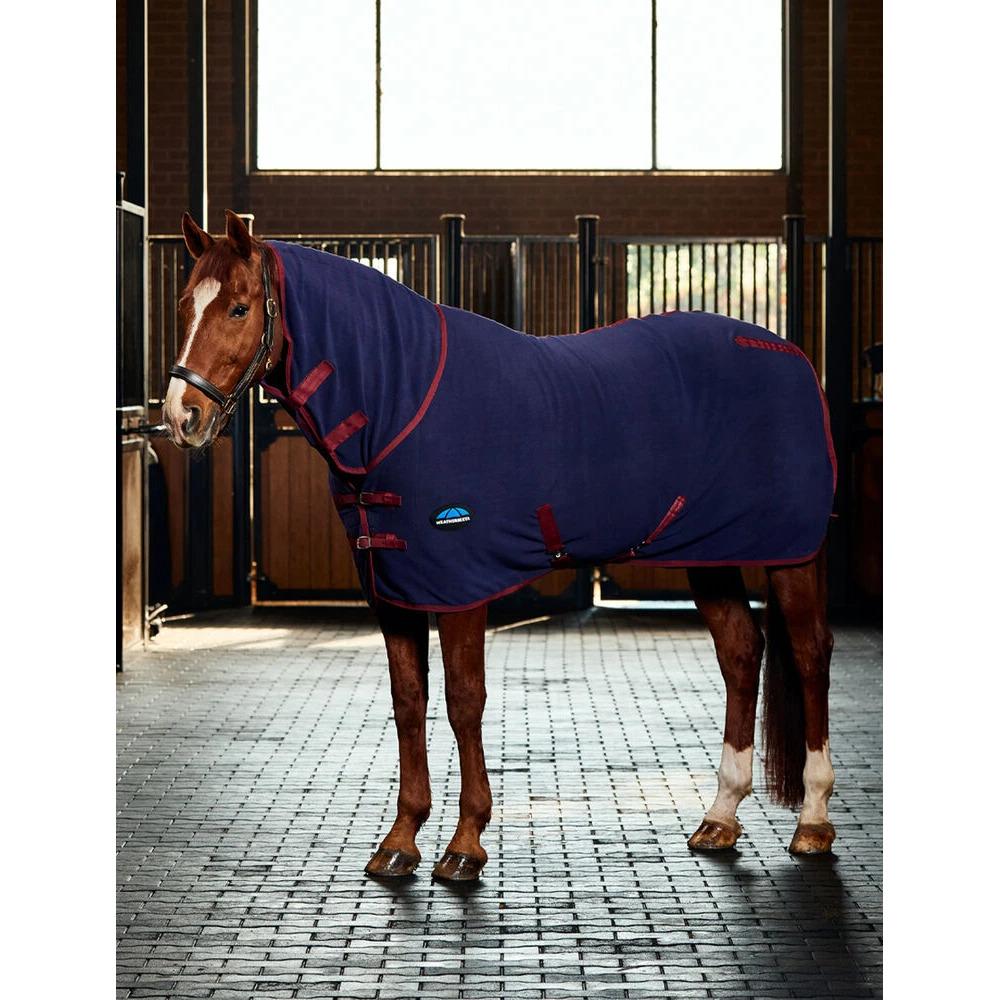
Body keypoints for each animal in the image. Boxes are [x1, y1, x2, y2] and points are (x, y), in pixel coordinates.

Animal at [163, 210, 837, 883]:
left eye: (240, 308)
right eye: (184, 305)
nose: (180, 416)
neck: (400, 398)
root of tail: (793, 357)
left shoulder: (460, 583)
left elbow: (464, 701)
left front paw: (465, 845)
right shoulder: (393, 587)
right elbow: (409, 701)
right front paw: (400, 840)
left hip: (791, 553)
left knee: (809, 654)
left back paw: (812, 822)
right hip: (709, 554)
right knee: (741, 653)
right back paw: (720, 818)